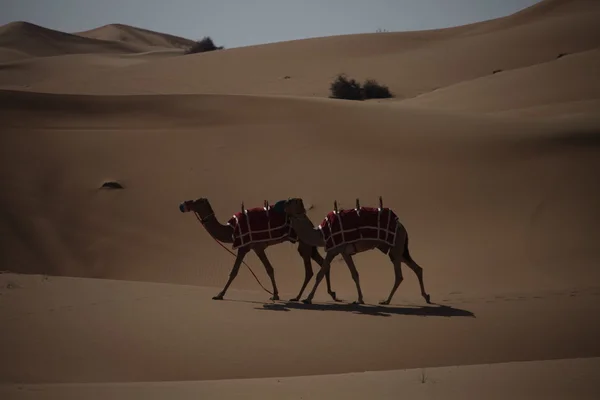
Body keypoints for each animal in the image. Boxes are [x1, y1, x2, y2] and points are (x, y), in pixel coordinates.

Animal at [179, 197, 338, 300]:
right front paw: (275, 294)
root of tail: (312, 224)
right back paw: (331, 293)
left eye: (196, 201)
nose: (182, 205)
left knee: (310, 270)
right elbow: (262, 269)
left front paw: (219, 294)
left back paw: (299, 297)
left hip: (304, 245)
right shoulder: (252, 248)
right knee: (323, 263)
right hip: (309, 246)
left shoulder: (249, 247)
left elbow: (239, 271)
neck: (231, 230)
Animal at [284, 198, 428, 306]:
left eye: (292, 202)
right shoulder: (344, 252)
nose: (284, 204)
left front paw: (308, 299)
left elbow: (321, 273)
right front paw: (359, 299)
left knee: (399, 275)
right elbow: (354, 274)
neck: (321, 234)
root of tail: (402, 227)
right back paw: (426, 296)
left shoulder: (334, 250)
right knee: (417, 268)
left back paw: (386, 300)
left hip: (396, 246)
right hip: (397, 250)